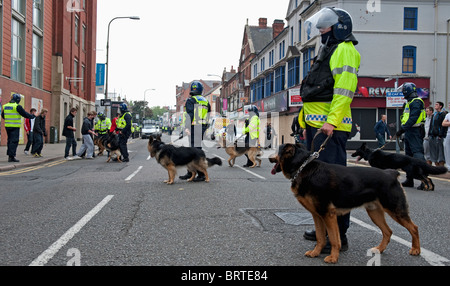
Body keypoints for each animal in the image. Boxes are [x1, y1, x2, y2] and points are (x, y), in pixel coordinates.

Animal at [270, 143, 422, 264]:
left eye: (277, 151)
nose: (269, 156)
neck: (302, 167)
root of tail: (391, 173)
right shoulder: (318, 215)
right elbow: (320, 237)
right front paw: (316, 253)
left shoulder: (328, 215)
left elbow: (334, 239)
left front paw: (333, 258)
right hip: (374, 212)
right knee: (388, 231)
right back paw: (379, 249)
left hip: (395, 210)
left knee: (414, 228)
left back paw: (416, 250)